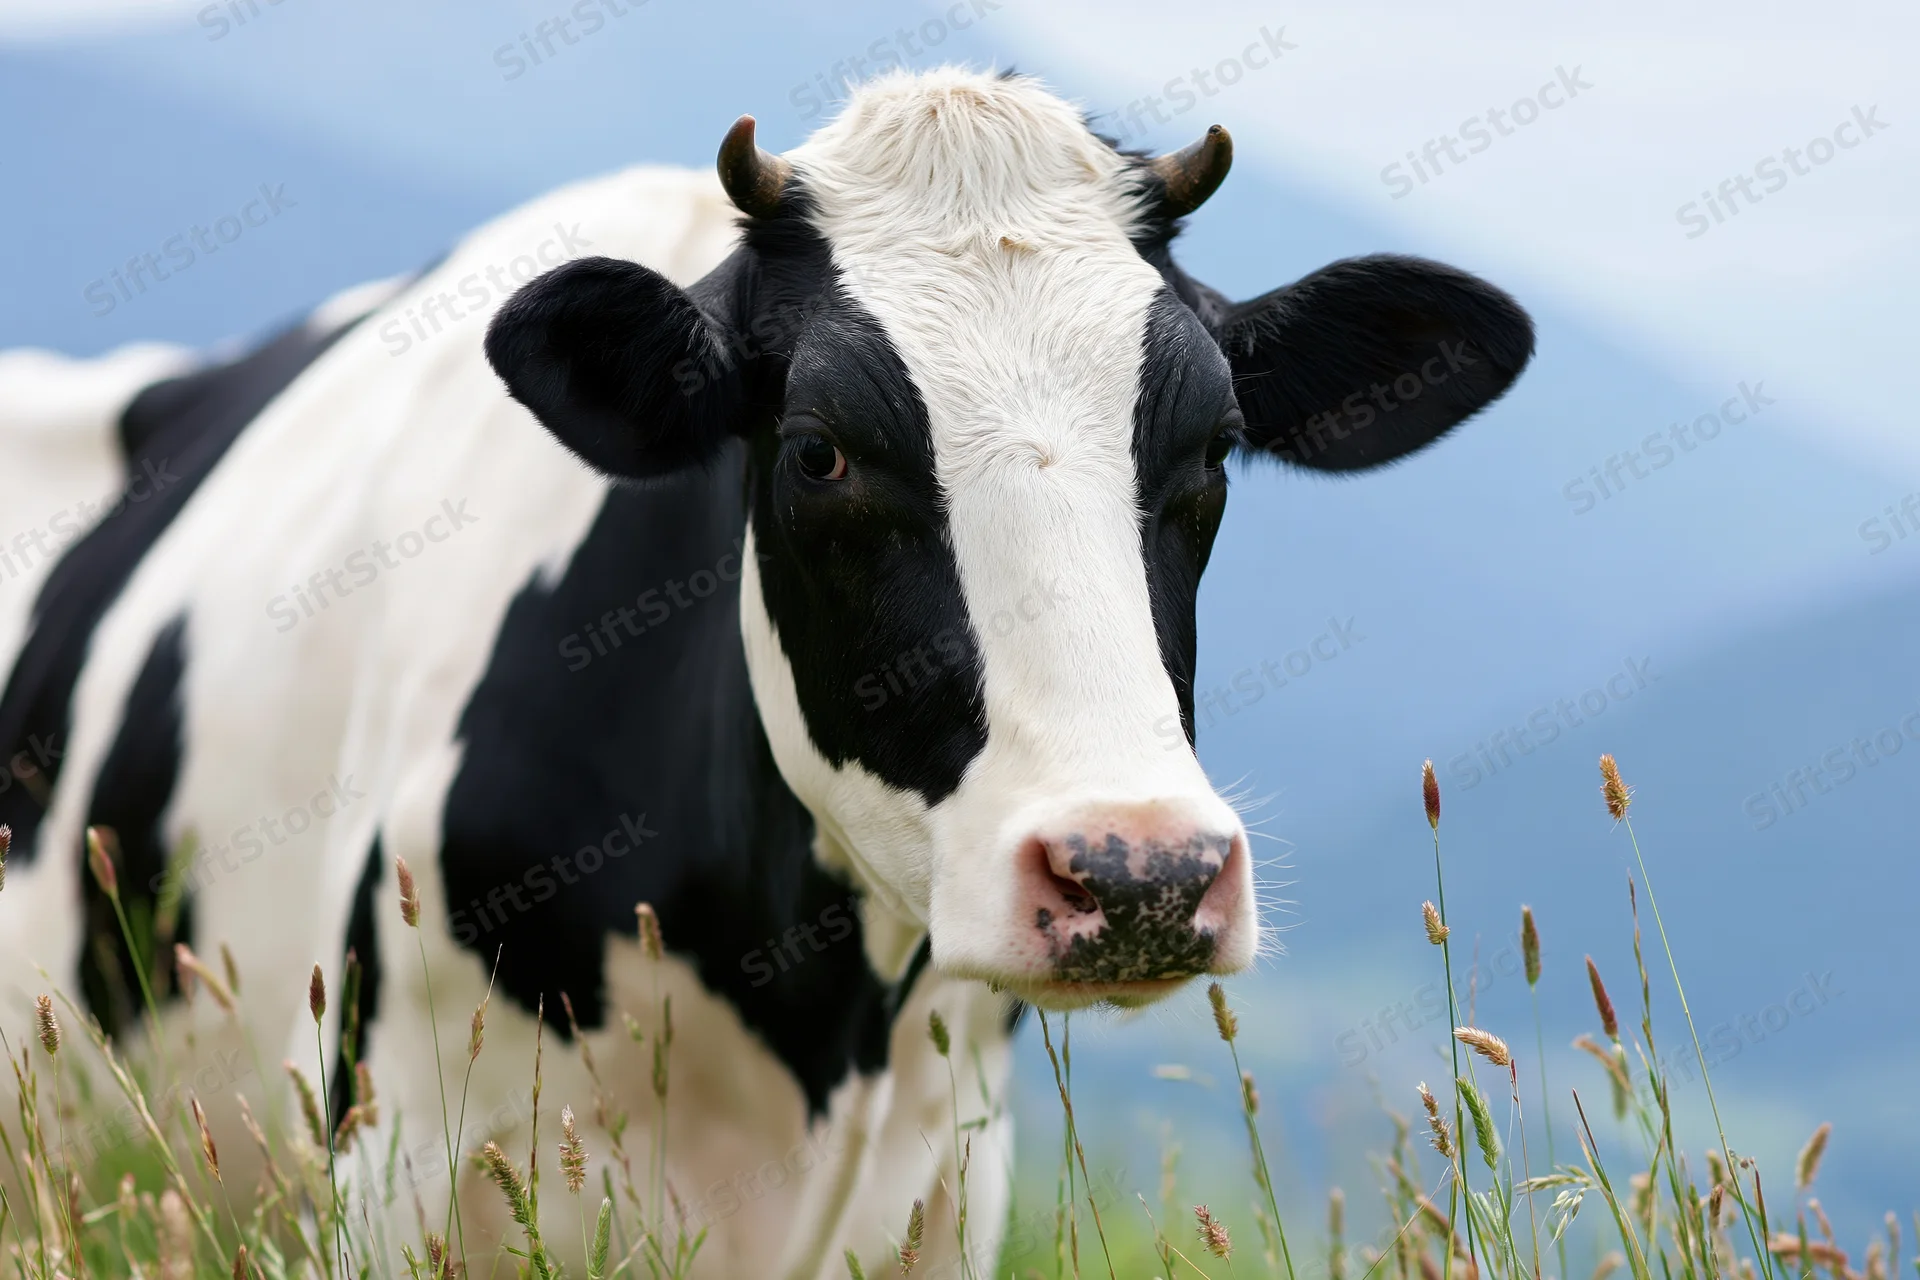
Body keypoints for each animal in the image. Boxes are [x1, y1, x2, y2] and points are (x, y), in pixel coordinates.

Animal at [0, 68, 1532, 1278]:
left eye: (1213, 446)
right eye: (819, 451)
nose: (1139, 871)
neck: (795, 1011)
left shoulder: (942, 1190)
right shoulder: (400, 1167)